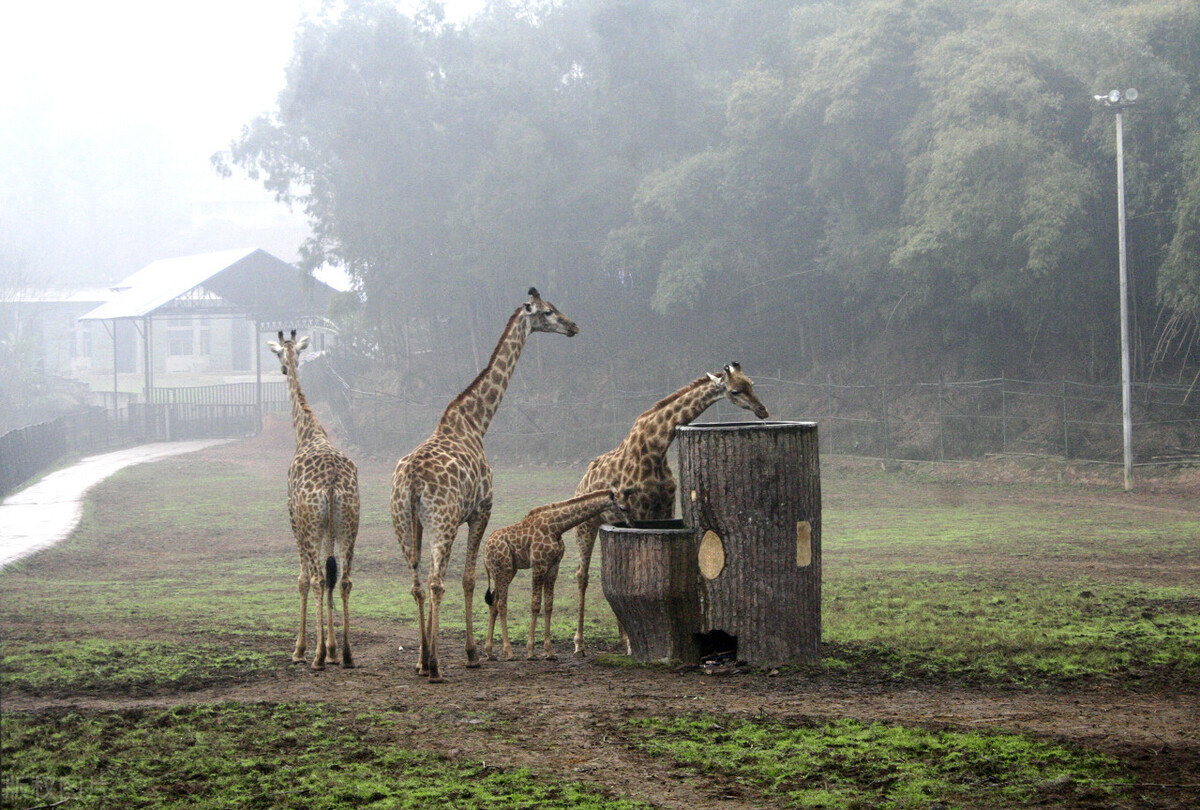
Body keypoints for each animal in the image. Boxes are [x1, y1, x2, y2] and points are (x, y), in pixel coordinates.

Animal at [262, 328, 355, 672]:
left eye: (278, 353)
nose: (283, 369)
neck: (307, 432)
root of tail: (330, 484)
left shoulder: (294, 520)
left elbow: (303, 579)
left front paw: (302, 649)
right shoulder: (329, 528)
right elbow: (331, 577)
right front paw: (331, 648)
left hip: (311, 523)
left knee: (315, 577)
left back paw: (314, 657)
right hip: (349, 522)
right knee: (343, 579)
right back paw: (347, 654)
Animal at [391, 288, 578, 681]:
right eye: (548, 312)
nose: (573, 326)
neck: (476, 424)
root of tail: (411, 480)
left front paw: (433, 656)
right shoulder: (482, 511)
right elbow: (470, 579)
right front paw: (472, 653)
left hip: (404, 523)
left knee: (417, 583)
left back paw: (422, 660)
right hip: (443, 521)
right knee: (436, 581)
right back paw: (436, 666)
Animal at [480, 487, 638, 667]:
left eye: (630, 505)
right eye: (623, 508)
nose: (631, 525)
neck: (557, 527)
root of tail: (484, 551)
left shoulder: (553, 567)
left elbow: (549, 605)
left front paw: (549, 652)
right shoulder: (539, 565)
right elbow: (535, 604)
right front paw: (531, 651)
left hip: (506, 571)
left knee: (493, 603)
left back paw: (490, 652)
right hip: (503, 570)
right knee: (501, 604)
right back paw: (509, 652)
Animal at [568, 364, 768, 657]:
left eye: (751, 384)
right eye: (734, 391)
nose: (762, 411)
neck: (657, 448)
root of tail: (583, 480)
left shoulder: (664, 508)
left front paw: (631, 643)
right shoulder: (638, 511)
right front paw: (634, 643)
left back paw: (624, 642)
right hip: (586, 525)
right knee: (582, 576)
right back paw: (579, 644)